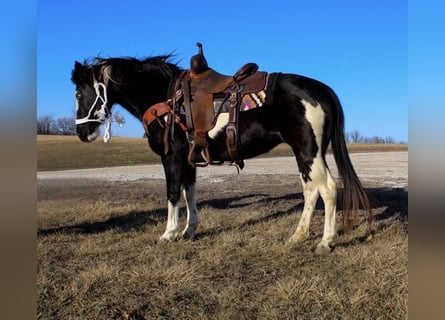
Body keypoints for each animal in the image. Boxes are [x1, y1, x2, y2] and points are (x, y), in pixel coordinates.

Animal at [72, 52, 372, 254]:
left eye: (77, 93)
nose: (82, 133)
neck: (165, 98)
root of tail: (320, 89)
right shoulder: (189, 160)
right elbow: (190, 193)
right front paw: (189, 230)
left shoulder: (171, 158)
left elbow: (172, 193)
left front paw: (169, 233)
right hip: (304, 154)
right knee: (311, 191)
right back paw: (298, 236)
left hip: (310, 151)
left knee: (328, 189)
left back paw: (325, 241)